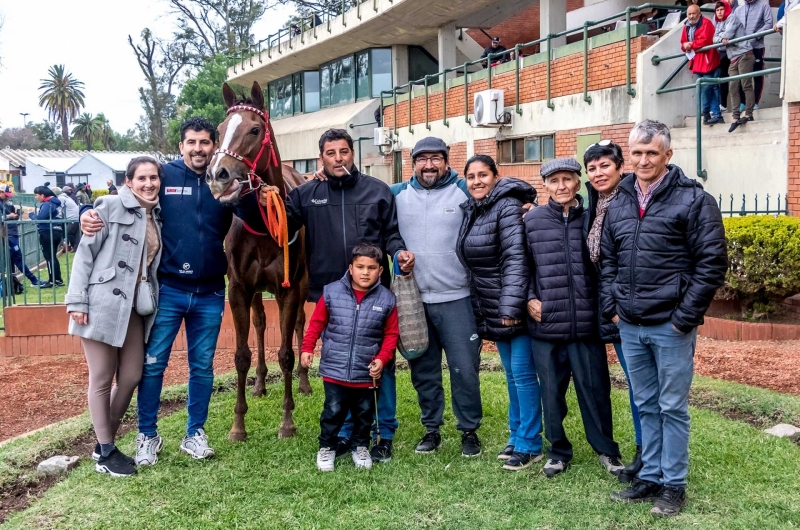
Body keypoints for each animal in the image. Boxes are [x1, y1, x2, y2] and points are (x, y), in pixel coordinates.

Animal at [206, 81, 310, 438]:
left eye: (254, 129)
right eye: (220, 129)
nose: (218, 174)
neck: (264, 226)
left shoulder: (289, 287)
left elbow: (287, 353)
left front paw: (288, 421)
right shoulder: (239, 289)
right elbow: (241, 354)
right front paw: (238, 425)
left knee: (299, 324)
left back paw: (304, 384)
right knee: (261, 324)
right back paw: (260, 384)